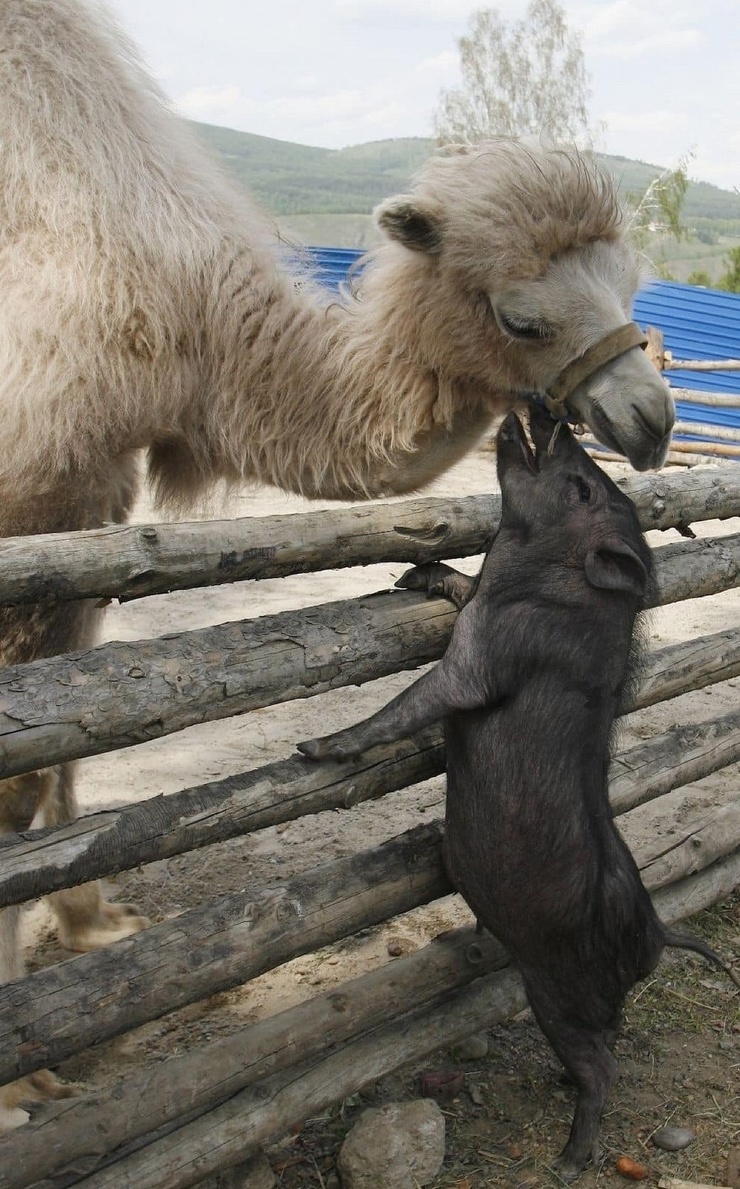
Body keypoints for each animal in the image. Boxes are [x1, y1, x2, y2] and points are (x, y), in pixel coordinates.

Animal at [0, 0, 675, 1127]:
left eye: (629, 281)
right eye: (521, 316)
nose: (653, 420)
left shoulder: (93, 505)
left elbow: (60, 757)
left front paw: (92, 927)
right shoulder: (30, 495)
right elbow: (18, 788)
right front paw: (19, 1082)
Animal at [302, 406, 740, 1179]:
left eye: (583, 489)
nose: (556, 417)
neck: (533, 580)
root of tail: (659, 930)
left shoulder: (480, 662)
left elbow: (409, 703)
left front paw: (315, 750)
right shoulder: (476, 608)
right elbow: (454, 586)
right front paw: (416, 572)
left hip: (559, 989)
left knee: (603, 1069)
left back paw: (570, 1159)